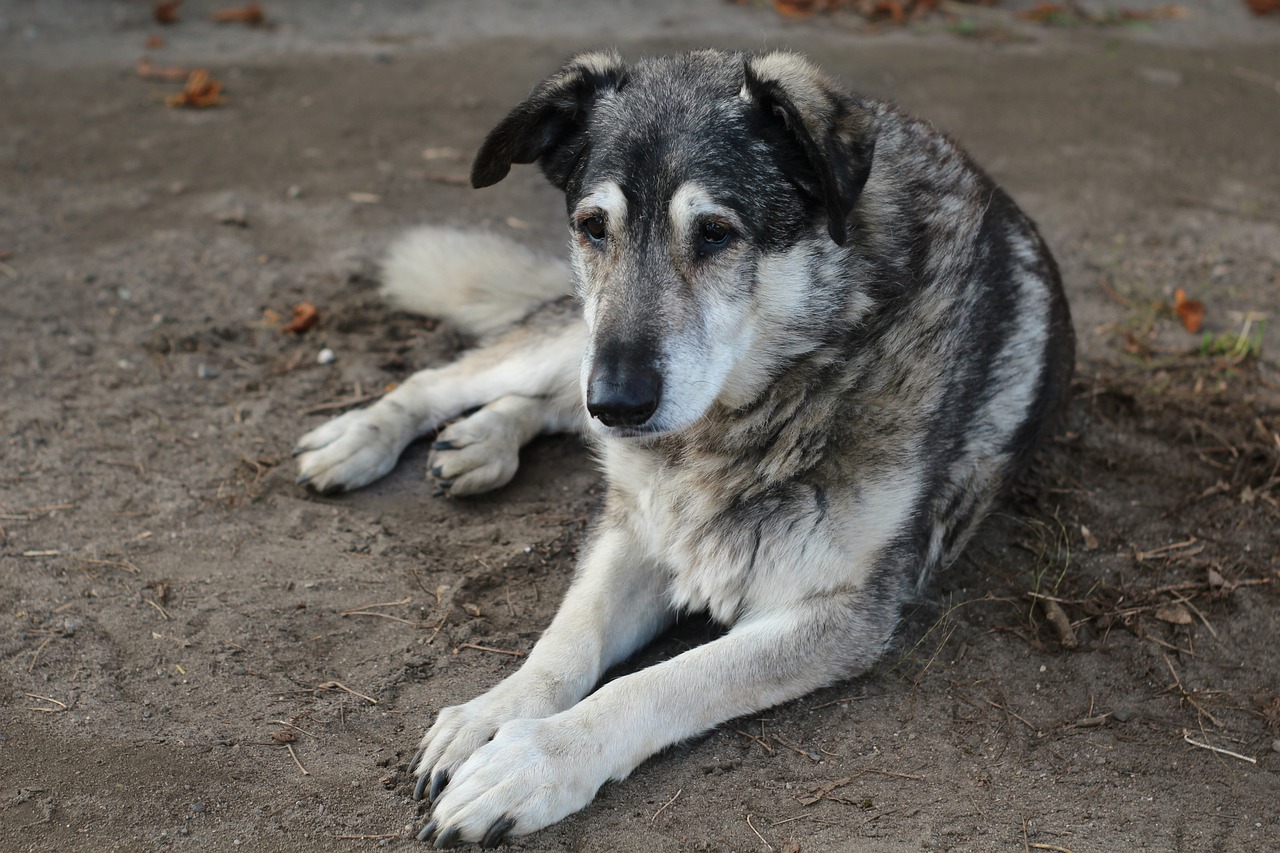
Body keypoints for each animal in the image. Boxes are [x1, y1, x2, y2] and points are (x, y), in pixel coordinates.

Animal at [290, 48, 1070, 845]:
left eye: (717, 233)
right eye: (593, 225)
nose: (618, 402)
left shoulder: (840, 613)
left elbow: (651, 685)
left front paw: (530, 763)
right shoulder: (636, 530)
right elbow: (565, 645)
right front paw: (491, 713)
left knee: (543, 403)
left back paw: (485, 440)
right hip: (577, 342)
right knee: (453, 378)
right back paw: (365, 438)